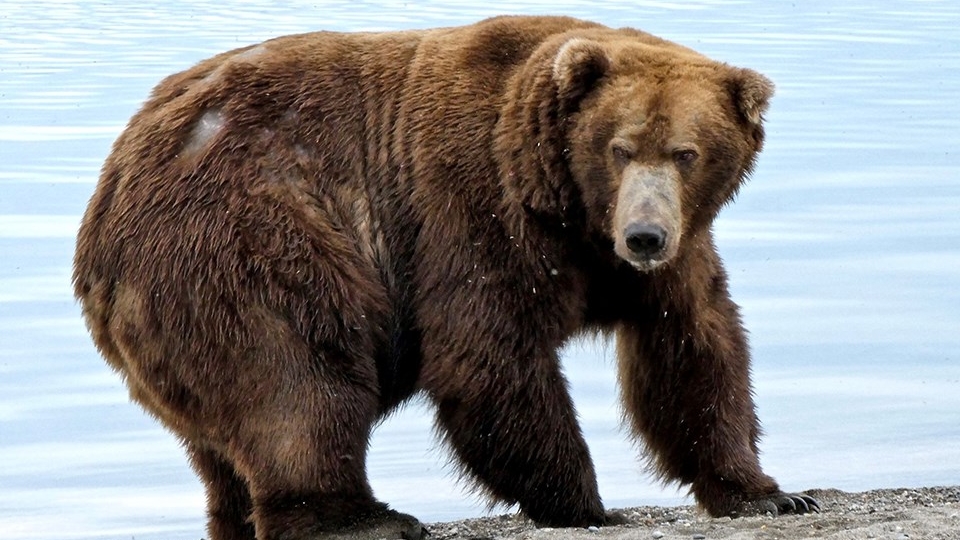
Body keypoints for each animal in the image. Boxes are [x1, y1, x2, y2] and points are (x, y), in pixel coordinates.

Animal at [73, 14, 818, 540]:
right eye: (620, 147)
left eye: (687, 152)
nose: (644, 235)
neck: (570, 210)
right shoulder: (473, 203)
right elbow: (487, 353)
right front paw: (586, 504)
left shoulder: (671, 255)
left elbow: (693, 351)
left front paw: (769, 492)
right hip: (246, 234)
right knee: (299, 376)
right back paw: (364, 519)